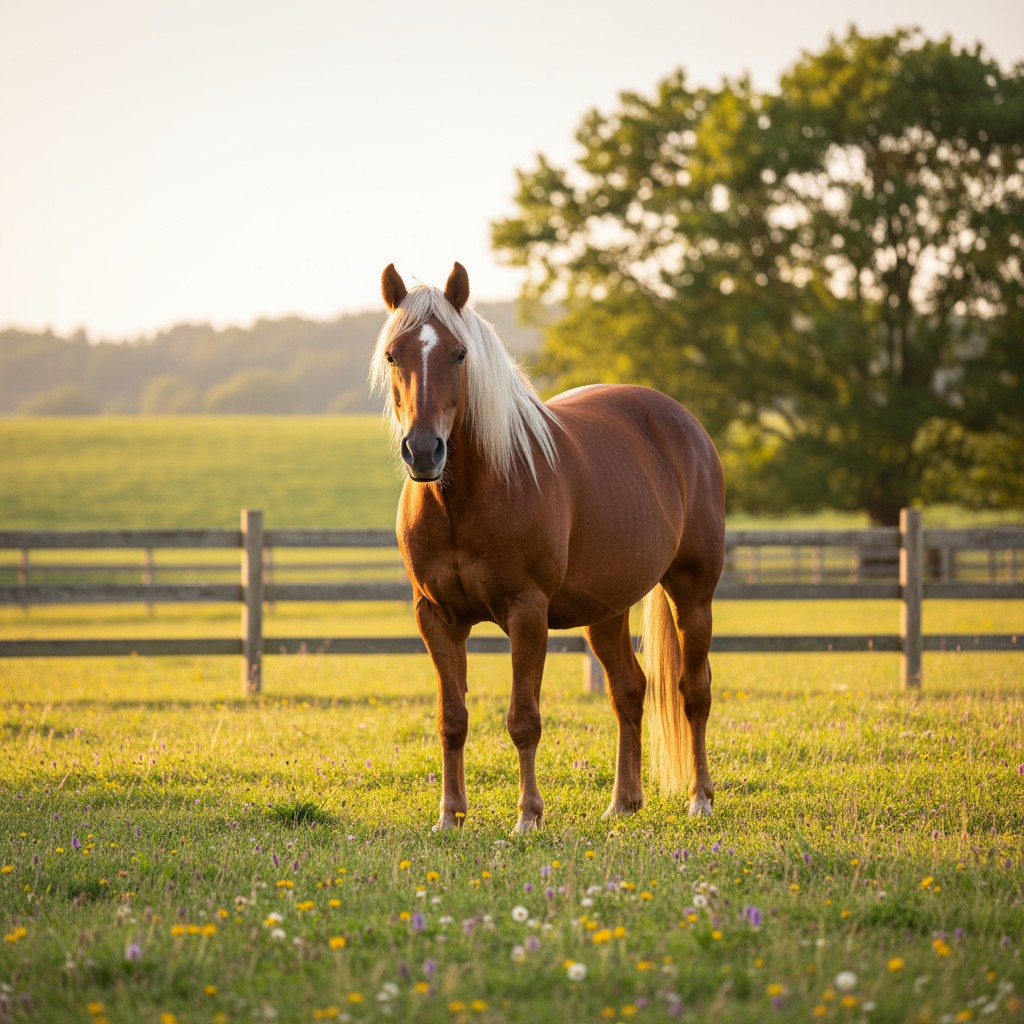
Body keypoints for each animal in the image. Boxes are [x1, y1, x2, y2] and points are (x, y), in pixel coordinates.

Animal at [370, 262, 726, 833]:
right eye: (392, 355)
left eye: (459, 353)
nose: (424, 451)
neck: (467, 498)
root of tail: (682, 422)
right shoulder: (435, 617)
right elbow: (453, 718)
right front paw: (450, 815)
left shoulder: (527, 613)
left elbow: (524, 720)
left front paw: (528, 816)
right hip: (606, 611)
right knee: (629, 691)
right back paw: (623, 801)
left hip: (692, 594)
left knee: (693, 692)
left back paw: (700, 798)